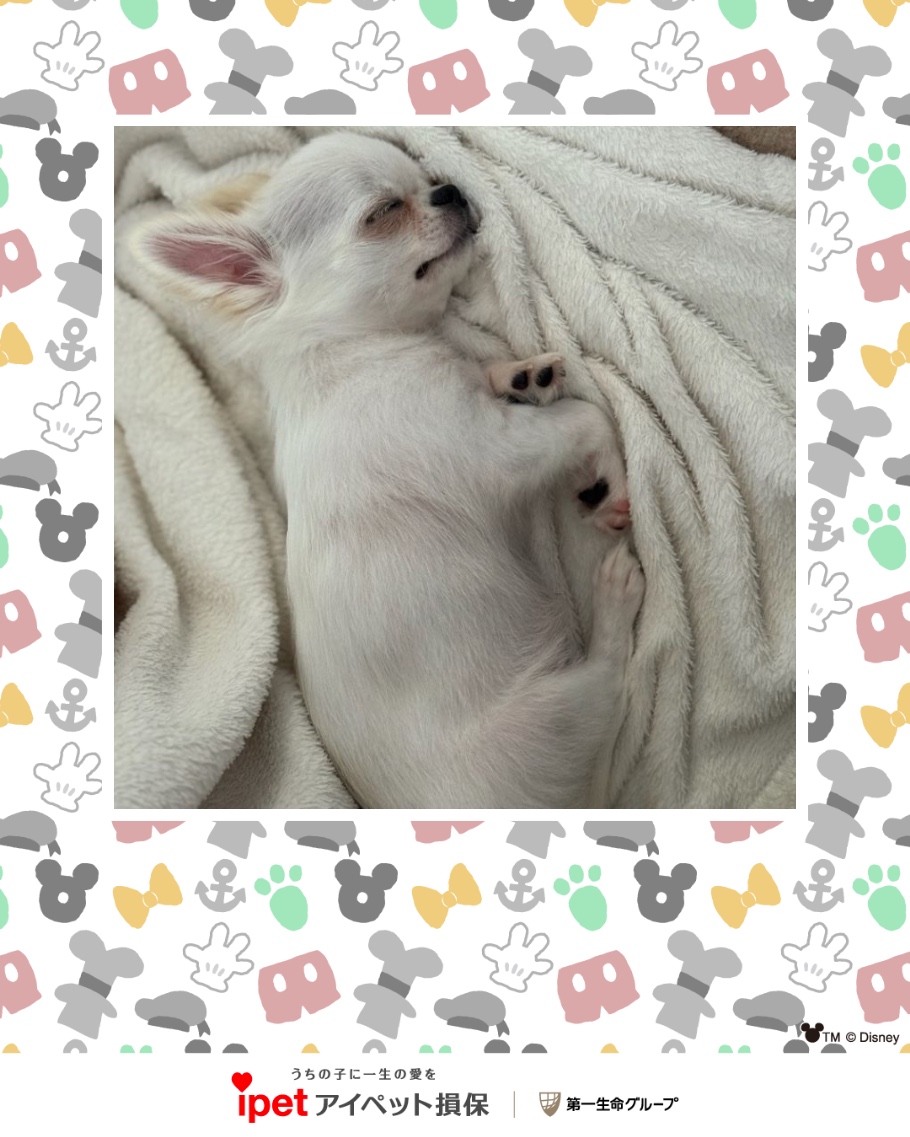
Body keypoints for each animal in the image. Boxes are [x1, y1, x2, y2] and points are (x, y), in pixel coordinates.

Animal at [135, 132, 644, 808]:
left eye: (425, 179)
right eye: (383, 214)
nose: (449, 189)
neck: (357, 350)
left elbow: (503, 383)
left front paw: (518, 375)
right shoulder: (493, 450)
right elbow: (590, 418)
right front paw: (610, 486)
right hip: (549, 716)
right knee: (609, 681)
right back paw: (615, 594)